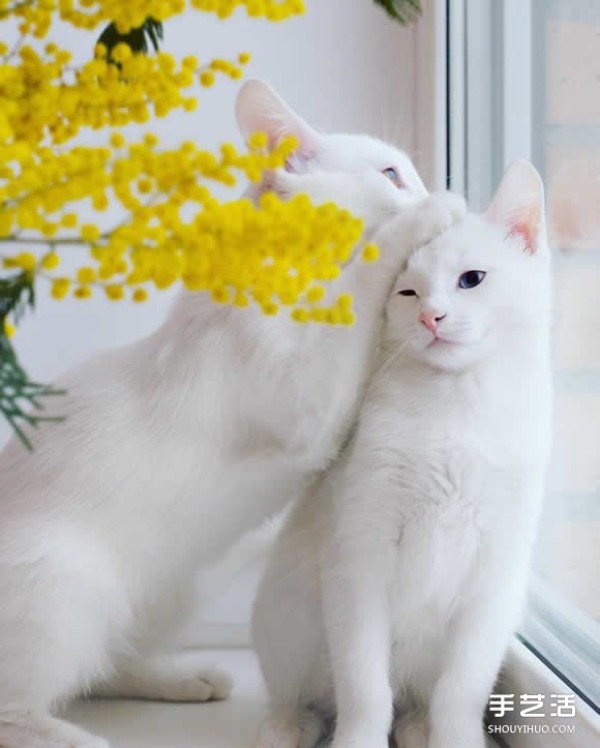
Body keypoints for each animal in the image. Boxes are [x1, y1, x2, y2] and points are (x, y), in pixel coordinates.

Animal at [253, 161, 552, 748]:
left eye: (471, 279)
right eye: (407, 291)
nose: (431, 317)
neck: (455, 407)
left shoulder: (496, 576)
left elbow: (460, 692)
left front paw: (455, 739)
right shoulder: (358, 561)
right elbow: (365, 687)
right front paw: (359, 740)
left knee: (419, 698)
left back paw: (417, 727)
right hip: (282, 621)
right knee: (301, 695)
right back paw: (286, 724)